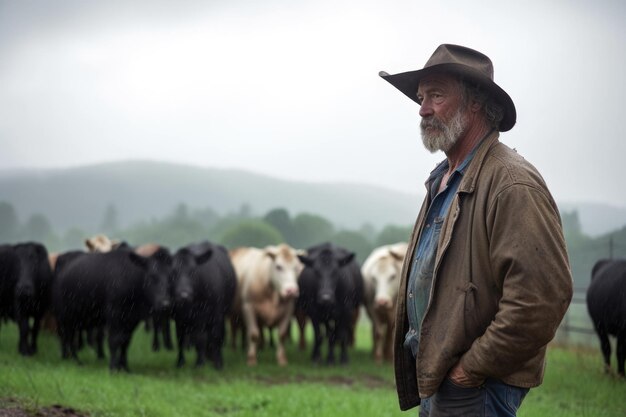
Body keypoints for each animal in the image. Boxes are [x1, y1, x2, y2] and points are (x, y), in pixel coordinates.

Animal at [171, 239, 236, 368]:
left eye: (193, 270)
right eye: (174, 271)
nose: (183, 295)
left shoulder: (215, 313)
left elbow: (212, 336)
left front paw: (215, 363)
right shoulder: (179, 317)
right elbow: (182, 338)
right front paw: (181, 362)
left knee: (217, 334)